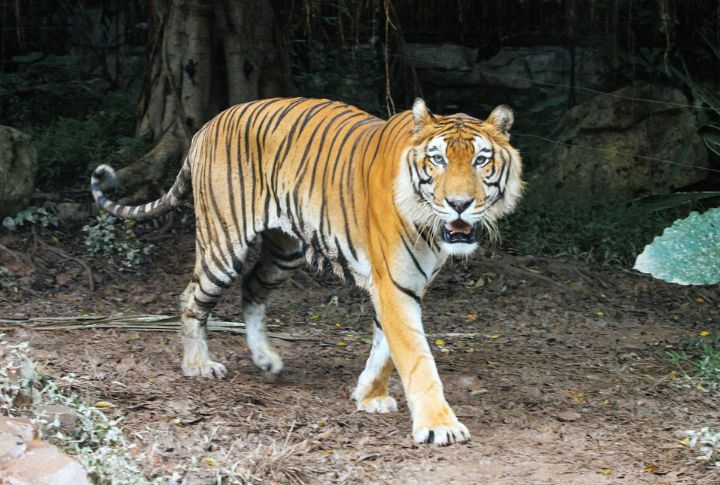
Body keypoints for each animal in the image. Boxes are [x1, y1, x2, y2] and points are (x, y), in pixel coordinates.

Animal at [90, 97, 523, 445]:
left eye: (481, 160)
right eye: (438, 160)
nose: (459, 204)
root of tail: (206, 126)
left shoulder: (405, 287)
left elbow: (385, 347)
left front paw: (369, 395)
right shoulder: (394, 285)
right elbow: (416, 358)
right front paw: (439, 426)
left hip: (285, 251)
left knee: (252, 288)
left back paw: (266, 359)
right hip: (224, 243)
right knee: (191, 298)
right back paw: (198, 365)